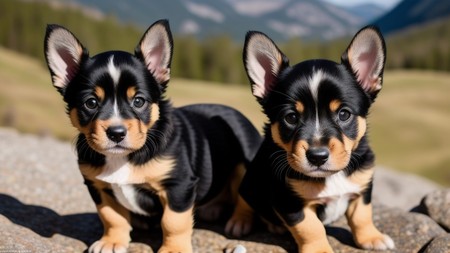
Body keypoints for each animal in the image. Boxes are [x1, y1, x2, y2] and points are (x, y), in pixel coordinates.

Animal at [43, 20, 260, 253]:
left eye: (139, 101)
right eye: (91, 103)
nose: (116, 133)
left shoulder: (178, 186)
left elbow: (174, 222)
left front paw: (174, 249)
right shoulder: (99, 186)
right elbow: (111, 217)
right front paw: (112, 241)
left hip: (245, 165)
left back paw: (239, 221)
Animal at [225, 26, 394, 252]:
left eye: (344, 114)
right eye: (291, 117)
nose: (317, 156)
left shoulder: (363, 186)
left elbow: (362, 215)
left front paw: (371, 237)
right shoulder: (290, 201)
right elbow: (310, 228)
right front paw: (320, 249)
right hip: (251, 178)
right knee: (244, 199)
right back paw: (240, 221)